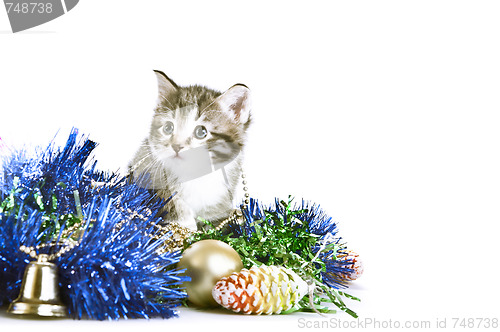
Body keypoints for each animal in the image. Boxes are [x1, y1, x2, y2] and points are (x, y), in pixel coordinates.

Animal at [127, 70, 252, 231]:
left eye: (201, 132)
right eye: (168, 128)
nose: (176, 146)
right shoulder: (148, 169)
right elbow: (167, 199)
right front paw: (185, 224)